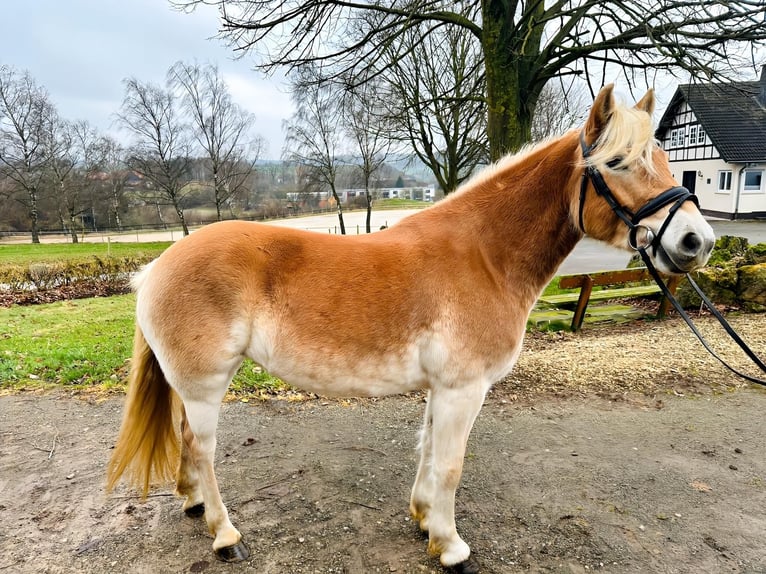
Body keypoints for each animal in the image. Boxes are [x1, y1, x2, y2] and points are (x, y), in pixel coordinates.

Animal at [105, 86, 716, 574]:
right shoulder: (464, 389)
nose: (696, 241)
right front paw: (450, 546)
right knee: (201, 447)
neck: (484, 254)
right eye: (618, 163)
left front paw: (424, 520)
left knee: (187, 441)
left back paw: (193, 505)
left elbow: (427, 454)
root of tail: (155, 268)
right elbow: (450, 465)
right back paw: (225, 534)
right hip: (206, 385)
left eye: (666, 158)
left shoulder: (442, 390)